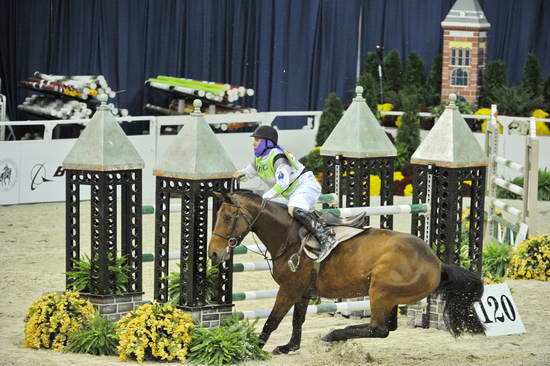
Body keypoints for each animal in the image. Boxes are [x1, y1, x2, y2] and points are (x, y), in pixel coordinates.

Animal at [209, 192, 486, 354]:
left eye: (228, 217)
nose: (213, 254)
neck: (289, 237)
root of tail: (436, 263)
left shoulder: (288, 290)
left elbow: (272, 321)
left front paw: (250, 350)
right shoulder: (302, 292)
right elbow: (297, 321)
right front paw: (290, 347)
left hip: (380, 291)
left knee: (380, 329)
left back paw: (335, 335)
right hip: (390, 297)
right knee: (388, 327)